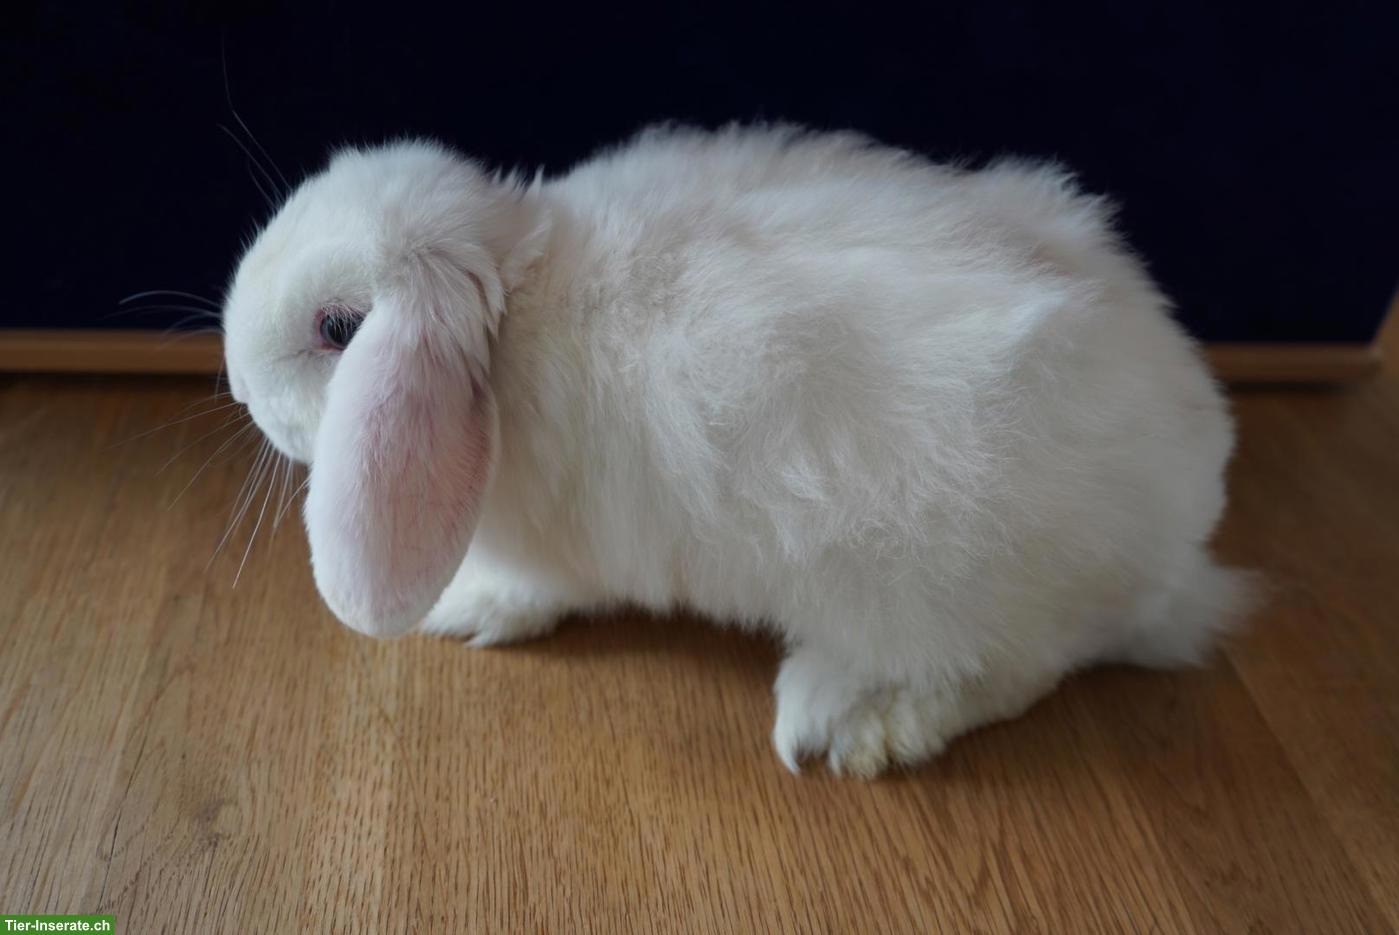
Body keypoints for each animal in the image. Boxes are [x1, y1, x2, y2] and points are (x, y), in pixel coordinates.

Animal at [221, 124, 1253, 778]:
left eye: (338, 328)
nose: (234, 380)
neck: (517, 305)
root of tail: (1178, 546)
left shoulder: (554, 555)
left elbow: (530, 591)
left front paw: (468, 609)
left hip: (942, 597)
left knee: (1011, 672)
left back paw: (849, 721)